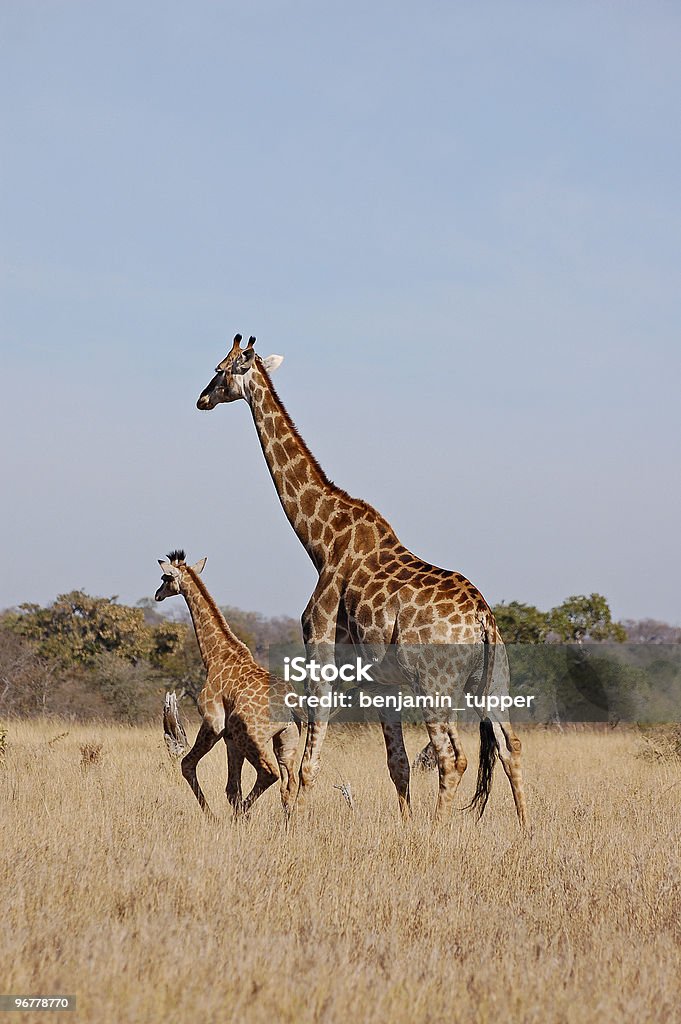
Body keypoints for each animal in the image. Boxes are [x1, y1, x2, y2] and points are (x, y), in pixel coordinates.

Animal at [157, 548, 301, 819]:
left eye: (164, 578)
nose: (157, 594)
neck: (215, 656)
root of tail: (291, 708)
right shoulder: (229, 737)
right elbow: (232, 788)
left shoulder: (214, 723)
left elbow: (187, 764)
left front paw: (212, 817)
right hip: (286, 739)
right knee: (289, 785)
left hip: (252, 737)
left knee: (269, 773)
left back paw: (241, 815)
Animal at [196, 335, 524, 823]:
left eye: (222, 369)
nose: (201, 399)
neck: (321, 540)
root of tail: (483, 620)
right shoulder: (383, 682)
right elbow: (398, 764)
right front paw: (406, 827)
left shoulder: (321, 654)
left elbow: (308, 762)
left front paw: (293, 824)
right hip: (496, 680)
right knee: (509, 745)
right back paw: (526, 831)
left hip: (436, 684)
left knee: (453, 757)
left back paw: (439, 829)